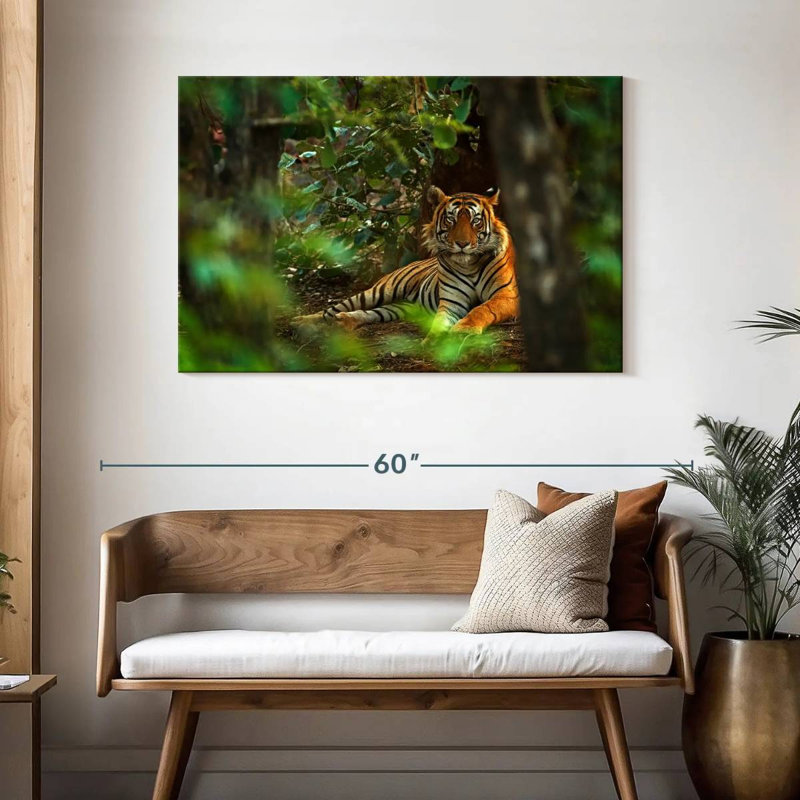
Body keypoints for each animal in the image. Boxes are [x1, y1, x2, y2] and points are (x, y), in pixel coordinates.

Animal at [293, 186, 519, 337]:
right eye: (450, 219)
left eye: (475, 221)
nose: (462, 244)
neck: (469, 264)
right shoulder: (452, 301)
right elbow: (440, 320)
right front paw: (434, 340)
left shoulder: (507, 296)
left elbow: (482, 309)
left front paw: (464, 329)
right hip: (379, 291)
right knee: (331, 309)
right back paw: (302, 322)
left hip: (401, 307)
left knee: (371, 313)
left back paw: (344, 321)